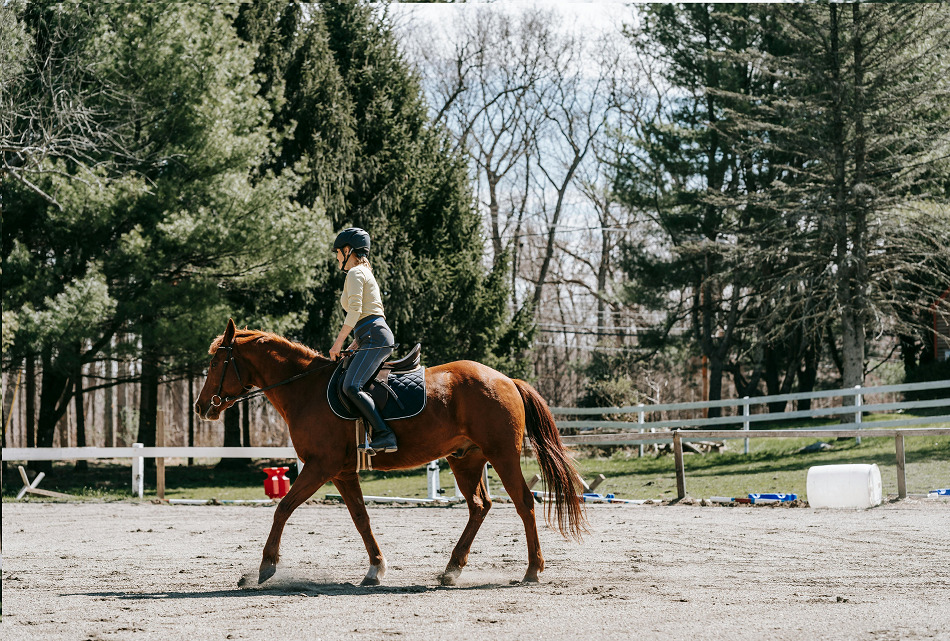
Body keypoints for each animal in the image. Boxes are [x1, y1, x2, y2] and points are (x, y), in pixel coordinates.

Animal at [195, 318, 588, 588]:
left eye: (215, 364)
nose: (201, 407)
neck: (305, 389)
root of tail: (506, 379)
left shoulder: (320, 467)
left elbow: (283, 508)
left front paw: (266, 566)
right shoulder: (342, 472)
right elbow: (361, 518)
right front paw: (375, 568)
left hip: (502, 454)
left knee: (524, 502)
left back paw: (532, 570)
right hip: (466, 459)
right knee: (480, 506)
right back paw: (452, 569)